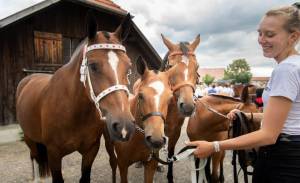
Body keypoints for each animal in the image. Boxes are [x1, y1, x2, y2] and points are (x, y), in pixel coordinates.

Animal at [15, 12, 135, 182]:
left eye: (129, 67)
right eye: (93, 66)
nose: (124, 127)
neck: (73, 110)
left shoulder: (91, 150)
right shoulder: (53, 154)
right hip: (29, 138)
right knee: (34, 158)